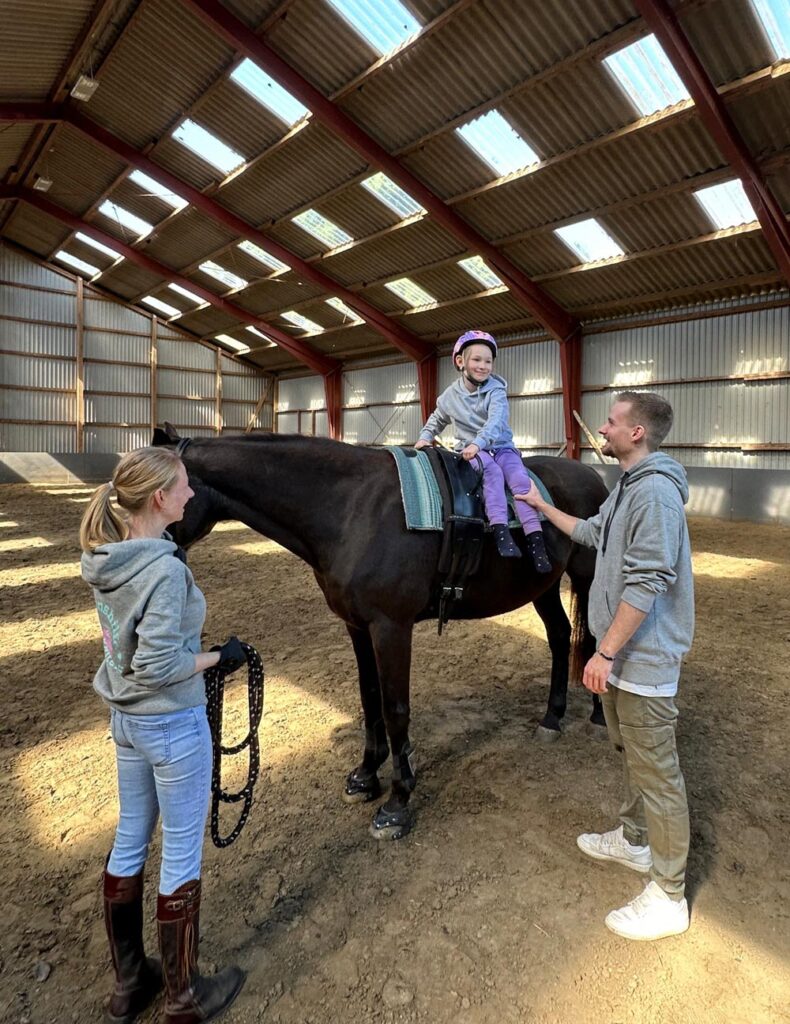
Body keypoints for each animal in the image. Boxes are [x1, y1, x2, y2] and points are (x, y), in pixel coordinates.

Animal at [154, 425, 610, 839]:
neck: (351, 510)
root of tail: (593, 476)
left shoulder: (392, 628)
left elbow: (395, 709)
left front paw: (397, 802)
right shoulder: (358, 626)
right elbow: (369, 698)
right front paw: (365, 774)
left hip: (587, 578)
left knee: (591, 642)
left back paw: (599, 717)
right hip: (543, 586)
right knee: (559, 637)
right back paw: (552, 717)